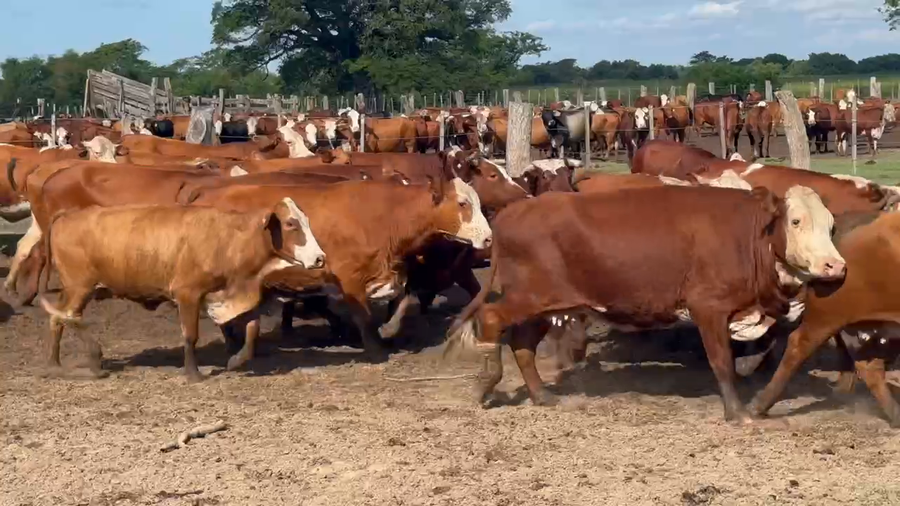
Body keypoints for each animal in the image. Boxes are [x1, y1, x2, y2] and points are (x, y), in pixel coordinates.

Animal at [38, 201, 325, 380]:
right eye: (290, 224)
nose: (320, 258)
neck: (228, 238)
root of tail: (68, 214)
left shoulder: (225, 294)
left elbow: (252, 328)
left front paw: (236, 360)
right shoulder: (188, 294)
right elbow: (190, 335)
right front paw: (193, 374)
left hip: (74, 289)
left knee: (57, 318)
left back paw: (54, 366)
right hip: (80, 286)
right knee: (68, 316)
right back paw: (93, 359)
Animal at [444, 185, 845, 422]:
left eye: (831, 225)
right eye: (796, 221)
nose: (835, 265)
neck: (747, 234)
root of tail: (510, 215)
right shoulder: (709, 308)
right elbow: (722, 363)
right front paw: (736, 412)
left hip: (547, 304)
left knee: (522, 344)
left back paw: (542, 395)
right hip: (529, 297)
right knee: (491, 319)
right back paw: (486, 384)